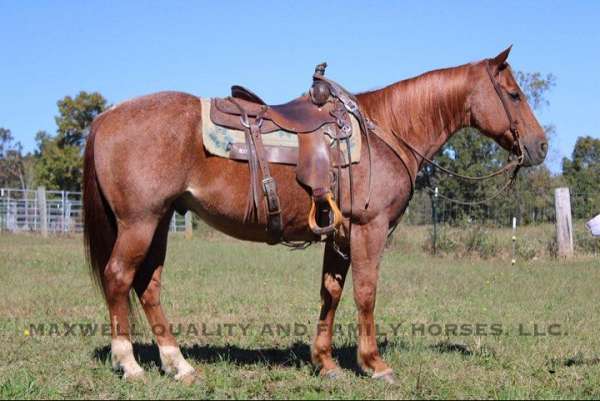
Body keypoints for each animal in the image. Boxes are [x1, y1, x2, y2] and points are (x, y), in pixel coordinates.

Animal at [84, 48, 548, 382]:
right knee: (119, 278)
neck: (387, 130)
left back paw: (178, 365)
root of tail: (107, 116)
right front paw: (374, 364)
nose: (540, 146)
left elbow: (331, 292)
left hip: (160, 220)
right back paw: (130, 364)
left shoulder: (338, 234)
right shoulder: (368, 229)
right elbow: (365, 293)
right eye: (514, 95)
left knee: (148, 285)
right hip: (140, 222)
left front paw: (325, 363)